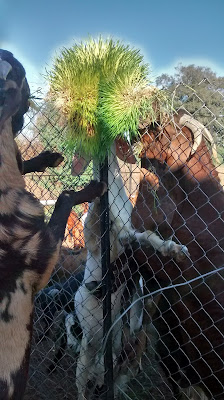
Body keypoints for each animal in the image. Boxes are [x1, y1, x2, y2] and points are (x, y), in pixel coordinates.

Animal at [73, 143, 189, 400]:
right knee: (82, 383)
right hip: (88, 346)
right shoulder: (96, 241)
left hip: (113, 342)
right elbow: (95, 218)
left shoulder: (129, 240)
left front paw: (174, 249)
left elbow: (145, 236)